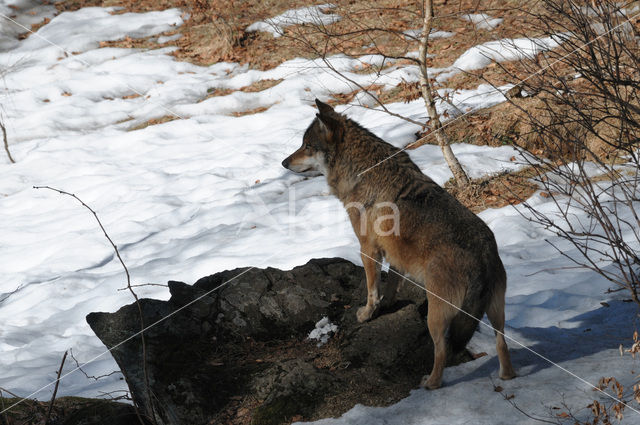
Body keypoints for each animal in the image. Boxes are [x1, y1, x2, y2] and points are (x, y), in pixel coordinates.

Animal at [280, 98, 516, 388]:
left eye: (307, 146)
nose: (283, 162)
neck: (361, 171)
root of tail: (483, 255)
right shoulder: (395, 254)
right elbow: (391, 283)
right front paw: (387, 304)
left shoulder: (368, 249)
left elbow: (372, 289)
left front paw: (367, 313)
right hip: (496, 313)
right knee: (502, 343)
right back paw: (506, 376)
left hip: (436, 315)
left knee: (443, 349)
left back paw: (430, 383)